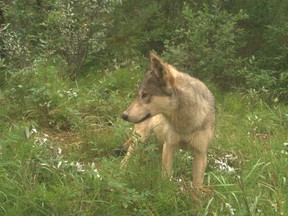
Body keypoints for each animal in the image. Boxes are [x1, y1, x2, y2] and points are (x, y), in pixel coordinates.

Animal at [120, 51, 215, 188]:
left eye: (144, 95)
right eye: (138, 95)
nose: (123, 115)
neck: (185, 123)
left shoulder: (200, 153)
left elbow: (197, 186)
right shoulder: (169, 146)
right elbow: (165, 177)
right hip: (140, 138)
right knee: (129, 153)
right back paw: (122, 168)